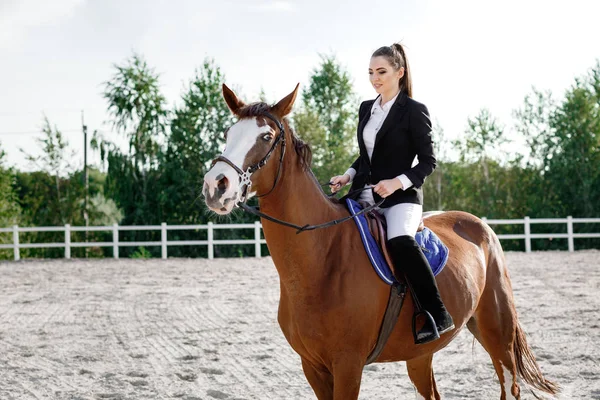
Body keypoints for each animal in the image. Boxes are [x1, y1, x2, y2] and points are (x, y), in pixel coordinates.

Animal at [202, 83, 556, 398]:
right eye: (228, 134)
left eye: (266, 136)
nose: (215, 185)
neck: (321, 258)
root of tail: (479, 225)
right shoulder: (312, 366)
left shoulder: (348, 365)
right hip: (420, 354)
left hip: (497, 332)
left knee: (509, 386)